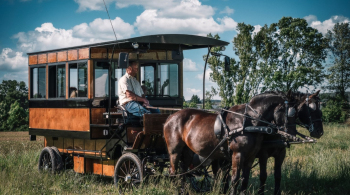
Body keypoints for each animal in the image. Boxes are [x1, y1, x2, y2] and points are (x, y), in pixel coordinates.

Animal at [164, 91, 298, 193]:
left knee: (183, 171)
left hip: (187, 151)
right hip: (175, 151)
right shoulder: (237, 154)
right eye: (290, 113)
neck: (249, 122)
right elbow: (235, 179)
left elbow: (244, 179)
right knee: (173, 171)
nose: (293, 136)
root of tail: (170, 117)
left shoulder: (251, 156)